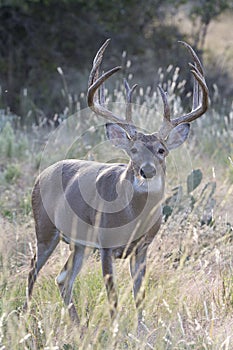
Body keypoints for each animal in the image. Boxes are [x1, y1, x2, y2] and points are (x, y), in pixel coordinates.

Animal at [24, 39, 209, 326]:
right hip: (45, 228)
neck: (133, 217)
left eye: (161, 150)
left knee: (63, 279)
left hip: (79, 243)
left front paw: (140, 329)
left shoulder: (142, 248)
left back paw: (78, 326)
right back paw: (27, 317)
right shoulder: (106, 245)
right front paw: (114, 329)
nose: (146, 171)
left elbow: (139, 295)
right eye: (133, 150)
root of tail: (42, 174)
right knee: (33, 271)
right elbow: (113, 296)